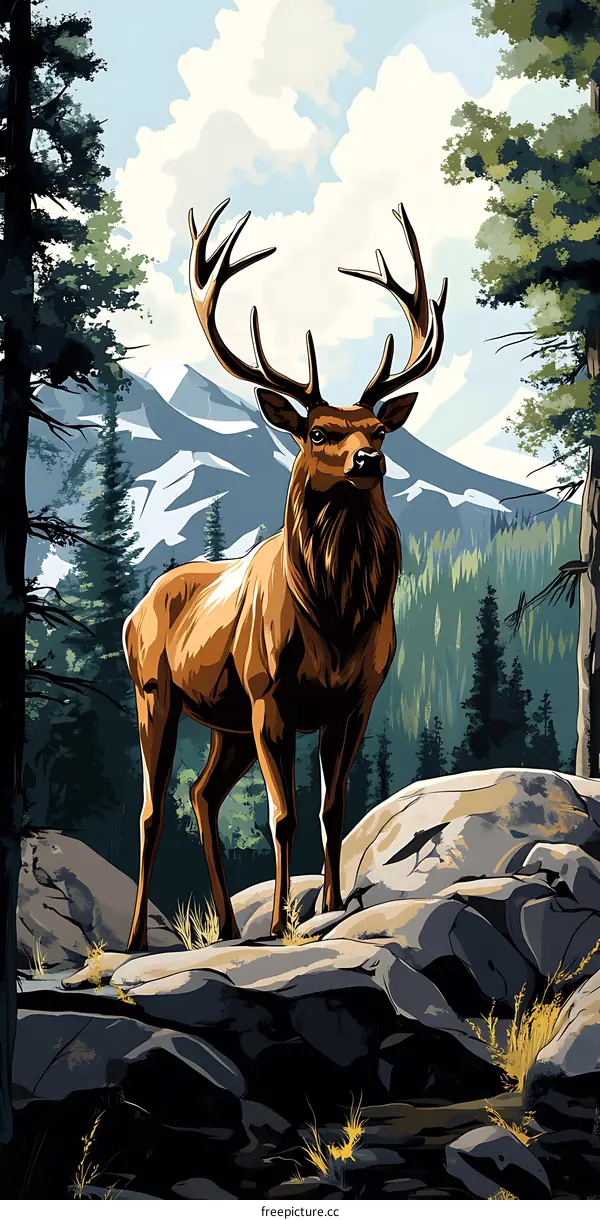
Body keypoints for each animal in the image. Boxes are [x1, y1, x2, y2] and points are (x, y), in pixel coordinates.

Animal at [124, 198, 447, 951]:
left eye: (377, 431)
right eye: (319, 432)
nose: (368, 460)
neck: (334, 612)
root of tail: (135, 607)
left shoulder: (356, 700)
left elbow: (334, 808)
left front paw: (330, 905)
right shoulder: (270, 693)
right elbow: (283, 815)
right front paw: (278, 922)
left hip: (228, 723)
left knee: (201, 794)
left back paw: (223, 926)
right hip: (158, 691)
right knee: (152, 808)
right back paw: (138, 938)